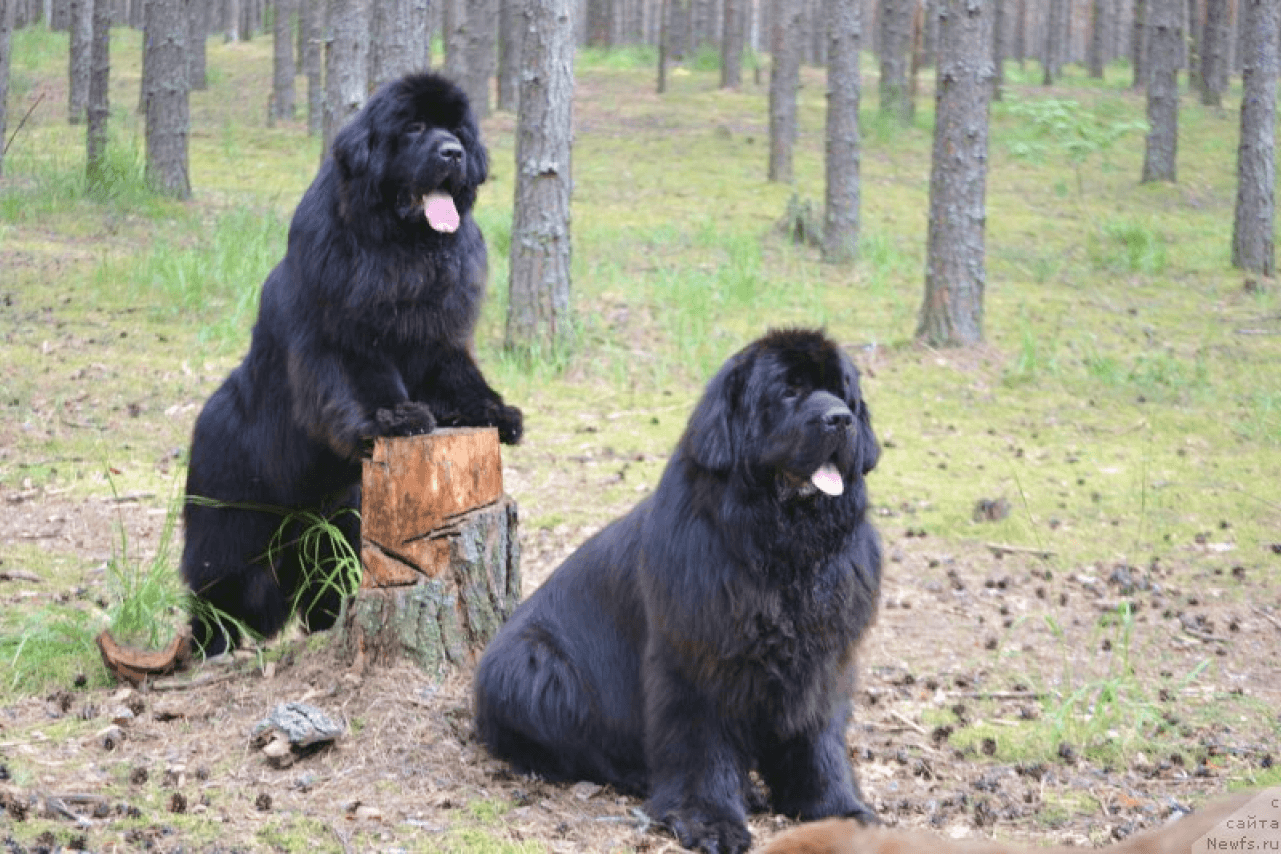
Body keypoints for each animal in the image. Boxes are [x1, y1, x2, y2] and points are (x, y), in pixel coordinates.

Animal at [180, 73, 520, 660]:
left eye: (456, 131)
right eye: (414, 127)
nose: (452, 153)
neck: (405, 252)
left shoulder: (436, 335)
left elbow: (458, 377)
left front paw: (495, 413)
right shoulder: (346, 335)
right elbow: (365, 381)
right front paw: (398, 418)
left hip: (335, 525)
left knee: (325, 584)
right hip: (226, 532)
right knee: (212, 593)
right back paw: (210, 648)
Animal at [471, 330, 881, 854]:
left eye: (843, 393)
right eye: (789, 391)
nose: (840, 419)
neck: (780, 554)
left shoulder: (821, 663)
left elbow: (819, 740)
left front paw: (839, 808)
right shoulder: (697, 662)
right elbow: (699, 745)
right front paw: (709, 821)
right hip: (532, 668)